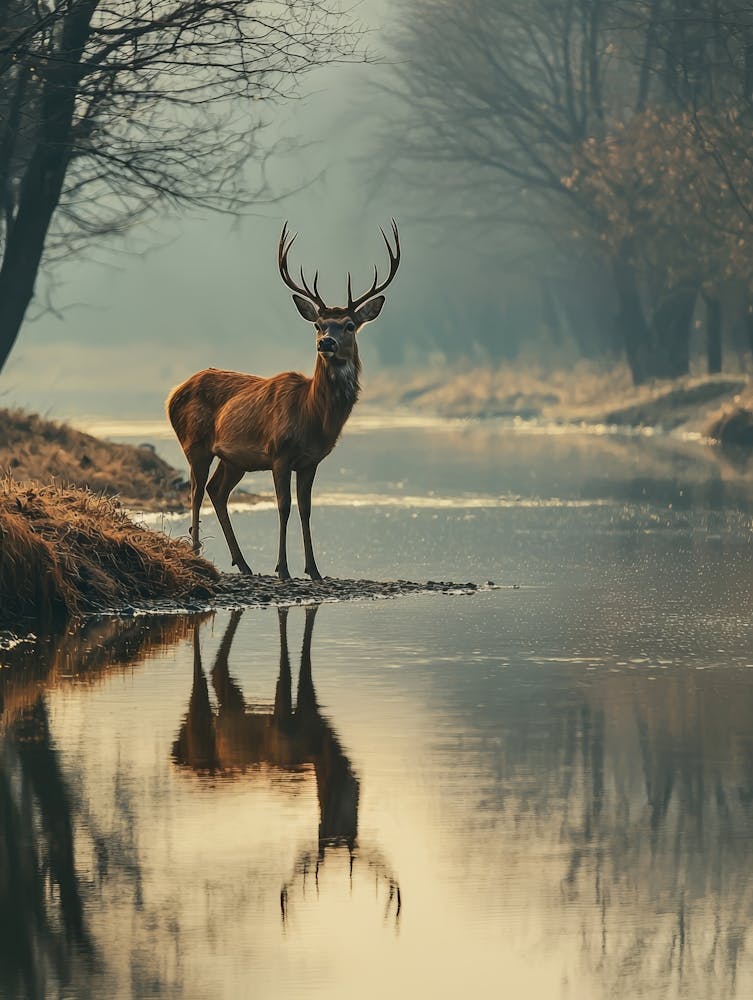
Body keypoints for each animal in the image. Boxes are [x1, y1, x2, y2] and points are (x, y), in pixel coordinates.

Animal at [166, 221, 401, 580]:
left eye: (349, 325)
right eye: (318, 324)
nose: (326, 343)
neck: (312, 417)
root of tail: (172, 394)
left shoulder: (311, 460)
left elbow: (306, 509)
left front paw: (314, 569)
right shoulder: (279, 452)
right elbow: (284, 507)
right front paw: (284, 569)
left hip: (234, 459)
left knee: (216, 490)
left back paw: (244, 564)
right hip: (195, 443)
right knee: (194, 490)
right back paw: (197, 554)